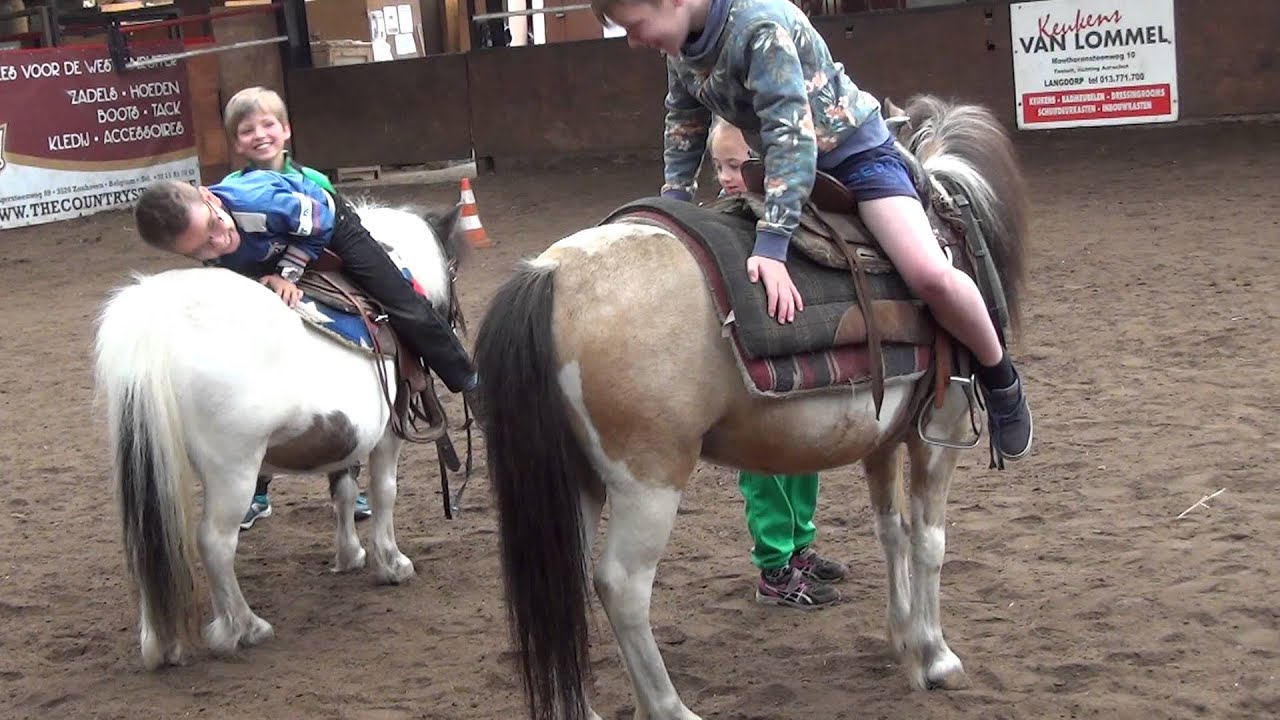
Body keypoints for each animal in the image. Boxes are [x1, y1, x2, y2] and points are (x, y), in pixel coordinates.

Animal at [93, 197, 468, 671]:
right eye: (453, 268)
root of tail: (153, 322)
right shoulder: (387, 435)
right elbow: (385, 492)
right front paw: (392, 563)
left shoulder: (346, 432)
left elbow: (344, 492)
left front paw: (350, 556)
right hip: (233, 469)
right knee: (215, 544)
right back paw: (244, 628)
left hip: (150, 463)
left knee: (149, 545)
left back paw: (160, 643)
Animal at [472, 95, 1030, 720]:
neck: (952, 234)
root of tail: (551, 276)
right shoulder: (940, 433)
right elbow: (929, 542)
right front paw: (935, 657)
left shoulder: (882, 443)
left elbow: (892, 533)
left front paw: (904, 638)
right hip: (648, 482)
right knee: (622, 586)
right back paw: (668, 707)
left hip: (575, 477)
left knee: (561, 573)